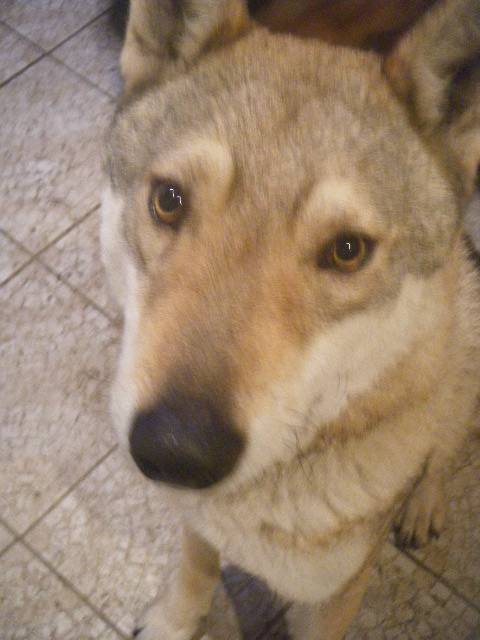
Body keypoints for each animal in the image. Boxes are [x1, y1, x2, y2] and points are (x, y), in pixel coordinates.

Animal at [101, 1, 480, 640]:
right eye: (168, 200)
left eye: (347, 250)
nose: (175, 451)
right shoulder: (197, 522)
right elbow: (195, 566)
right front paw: (176, 621)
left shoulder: (335, 594)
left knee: (445, 449)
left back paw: (422, 504)